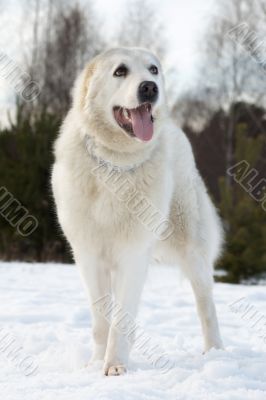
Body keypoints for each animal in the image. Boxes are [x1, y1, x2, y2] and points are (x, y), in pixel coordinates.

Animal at [51, 47, 223, 376]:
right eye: (120, 71)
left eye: (153, 69)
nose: (150, 88)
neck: (116, 164)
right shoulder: (89, 257)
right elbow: (101, 321)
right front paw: (96, 363)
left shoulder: (132, 255)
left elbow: (120, 321)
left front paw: (115, 366)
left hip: (192, 250)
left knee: (206, 304)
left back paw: (215, 353)